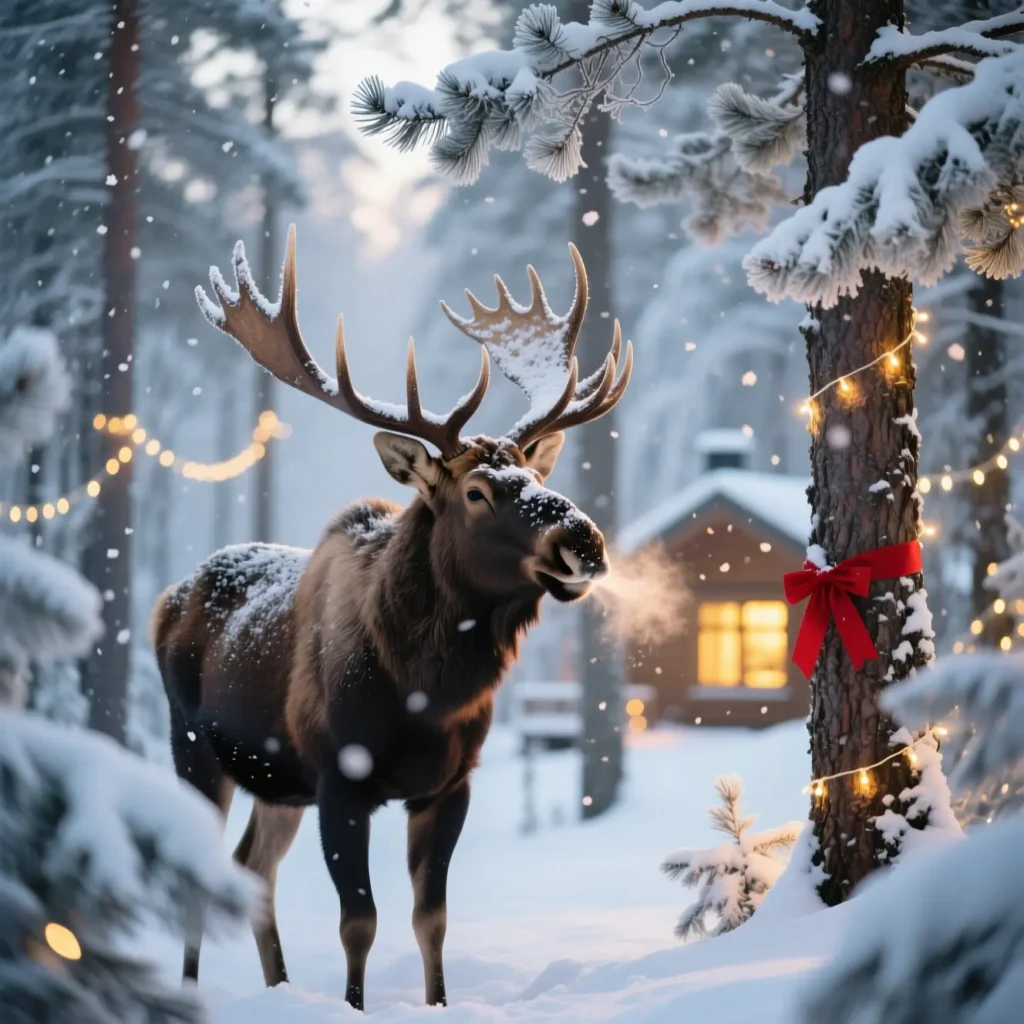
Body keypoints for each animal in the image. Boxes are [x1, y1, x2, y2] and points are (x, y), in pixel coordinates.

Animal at [151, 225, 632, 1011]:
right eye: (476, 491)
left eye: (537, 475)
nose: (584, 541)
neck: (422, 691)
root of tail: (166, 599)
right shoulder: (341, 778)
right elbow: (360, 922)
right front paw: (351, 1005)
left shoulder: (448, 784)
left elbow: (430, 918)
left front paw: (437, 1002)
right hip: (193, 746)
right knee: (202, 870)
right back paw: (191, 993)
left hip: (276, 782)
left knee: (253, 869)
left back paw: (280, 988)